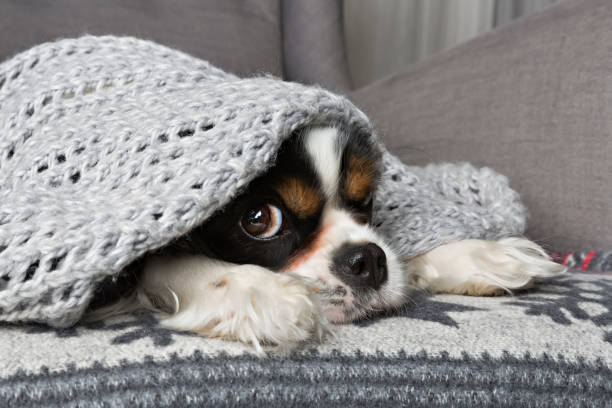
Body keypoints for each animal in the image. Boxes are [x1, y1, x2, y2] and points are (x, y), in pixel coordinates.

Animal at [0, 35, 524, 328]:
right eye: (258, 220)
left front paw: (479, 254)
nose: (367, 260)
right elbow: (167, 260)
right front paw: (257, 291)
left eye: (367, 201)